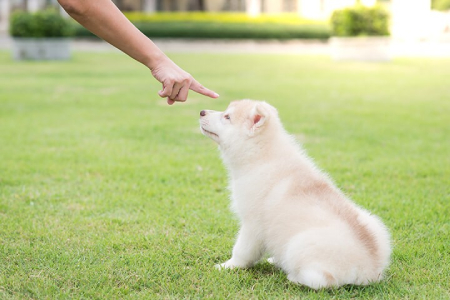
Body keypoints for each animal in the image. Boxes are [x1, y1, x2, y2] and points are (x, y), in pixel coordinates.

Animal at [200, 99, 390, 290]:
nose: (201, 112)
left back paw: (294, 277)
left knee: (323, 280)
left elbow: (241, 251)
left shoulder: (252, 225)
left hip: (299, 244)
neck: (261, 156)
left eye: (227, 117)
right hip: (375, 224)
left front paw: (227, 266)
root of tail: (370, 270)